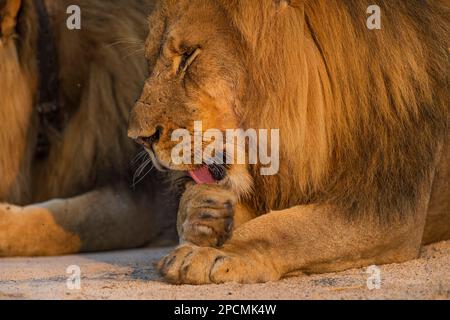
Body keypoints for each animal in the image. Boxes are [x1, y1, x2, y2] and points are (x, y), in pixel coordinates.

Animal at [126, 0, 450, 284]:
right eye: (150, 60)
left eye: (189, 55)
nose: (140, 138)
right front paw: (203, 214)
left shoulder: (388, 205)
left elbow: (288, 229)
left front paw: (212, 254)